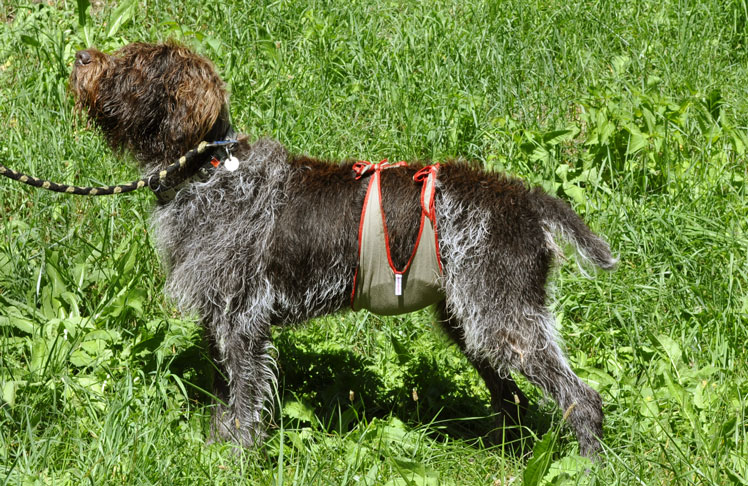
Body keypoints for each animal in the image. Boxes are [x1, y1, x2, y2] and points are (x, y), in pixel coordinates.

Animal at [70, 40, 616, 456]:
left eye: (135, 66)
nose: (79, 56)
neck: (209, 173)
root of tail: (527, 199)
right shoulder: (217, 318)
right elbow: (226, 397)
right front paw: (217, 445)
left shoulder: (242, 318)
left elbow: (245, 396)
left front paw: (238, 455)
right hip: (470, 323)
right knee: (513, 400)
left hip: (503, 320)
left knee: (583, 399)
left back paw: (587, 463)